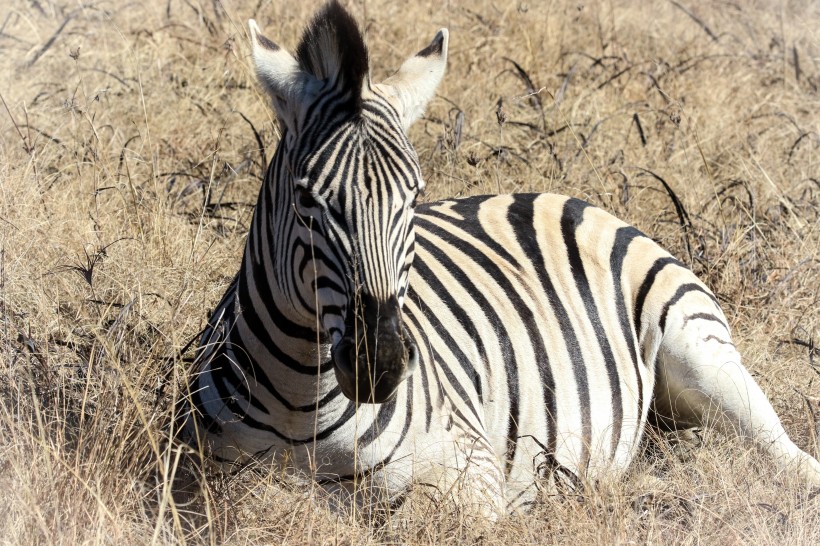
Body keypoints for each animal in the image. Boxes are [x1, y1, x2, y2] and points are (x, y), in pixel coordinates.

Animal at [184, 0, 820, 516]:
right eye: (307, 199)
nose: (381, 363)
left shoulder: (472, 472)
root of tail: (559, 196)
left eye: (413, 196)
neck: (303, 407)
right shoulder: (199, 485)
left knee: (786, 458)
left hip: (700, 353)